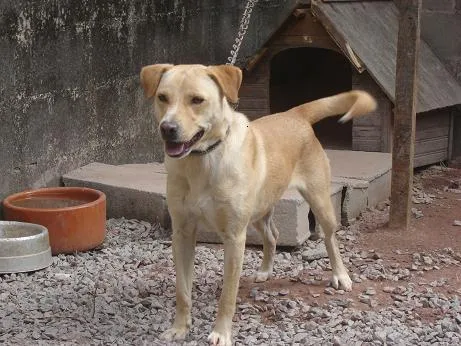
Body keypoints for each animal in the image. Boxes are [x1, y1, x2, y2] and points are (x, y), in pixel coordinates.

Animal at [140, 63, 378, 344]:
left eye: (197, 100)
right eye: (162, 97)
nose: (167, 128)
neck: (203, 160)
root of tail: (295, 114)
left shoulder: (234, 238)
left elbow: (227, 296)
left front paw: (221, 333)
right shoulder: (182, 233)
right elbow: (182, 291)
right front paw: (179, 328)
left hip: (319, 201)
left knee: (330, 238)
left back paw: (340, 276)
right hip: (258, 210)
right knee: (272, 235)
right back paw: (265, 270)